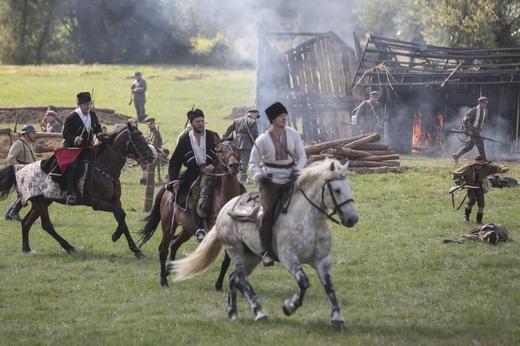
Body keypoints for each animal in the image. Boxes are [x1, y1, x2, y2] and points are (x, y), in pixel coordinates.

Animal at [0, 123, 154, 256]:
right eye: (138, 139)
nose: (151, 156)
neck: (104, 168)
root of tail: (20, 169)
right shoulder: (98, 203)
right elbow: (121, 214)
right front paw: (116, 235)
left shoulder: (115, 201)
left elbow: (122, 219)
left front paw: (136, 250)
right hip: (40, 202)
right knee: (46, 225)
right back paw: (69, 247)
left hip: (43, 201)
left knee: (26, 222)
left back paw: (26, 249)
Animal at [136, 138, 242, 286]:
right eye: (220, 150)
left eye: (235, 148)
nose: (234, 165)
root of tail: (168, 191)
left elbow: (227, 261)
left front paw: (219, 285)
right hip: (168, 226)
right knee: (164, 250)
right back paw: (163, 281)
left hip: (187, 229)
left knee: (174, 244)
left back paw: (169, 269)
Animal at [173, 158, 360, 328]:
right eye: (336, 190)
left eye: (350, 187)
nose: (352, 219)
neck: (308, 220)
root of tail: (225, 209)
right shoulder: (288, 258)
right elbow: (304, 282)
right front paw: (289, 307)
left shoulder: (322, 260)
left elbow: (329, 286)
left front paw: (337, 317)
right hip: (235, 250)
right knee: (241, 280)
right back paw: (259, 312)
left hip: (252, 256)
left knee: (234, 278)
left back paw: (233, 311)